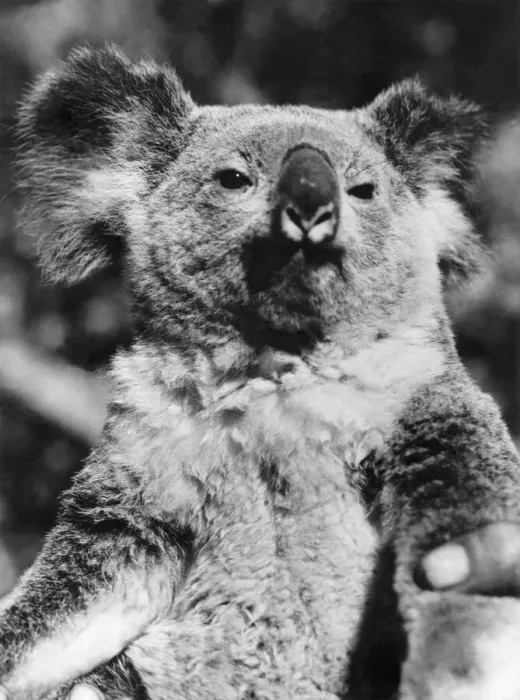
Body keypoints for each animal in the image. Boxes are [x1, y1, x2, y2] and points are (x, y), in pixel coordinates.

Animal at [2, 45, 520, 700]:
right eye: (234, 179)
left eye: (363, 189)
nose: (311, 208)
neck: (275, 374)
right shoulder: (137, 489)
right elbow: (67, 602)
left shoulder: (425, 409)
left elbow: (457, 536)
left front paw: (460, 668)